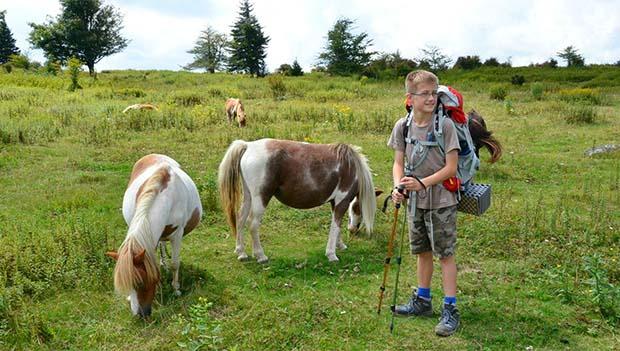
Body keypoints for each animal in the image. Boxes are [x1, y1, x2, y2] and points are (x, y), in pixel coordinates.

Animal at [106, 154, 201, 320]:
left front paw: (176, 289)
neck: (167, 197)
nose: (140, 314)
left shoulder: (177, 235)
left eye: (141, 283)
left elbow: (175, 263)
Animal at [218, 139, 378, 262]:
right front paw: (331, 254)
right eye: (357, 207)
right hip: (261, 198)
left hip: (249, 197)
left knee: (240, 219)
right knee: (253, 224)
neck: (351, 167)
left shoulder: (335, 203)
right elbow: (335, 226)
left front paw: (340, 245)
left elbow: (336, 225)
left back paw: (241, 252)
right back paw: (261, 256)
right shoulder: (341, 202)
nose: (353, 230)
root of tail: (248, 145)